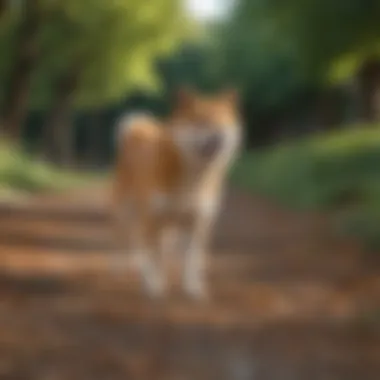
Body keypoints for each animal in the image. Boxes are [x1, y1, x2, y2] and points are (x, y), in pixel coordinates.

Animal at [112, 87, 243, 298]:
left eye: (223, 121)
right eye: (201, 121)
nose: (219, 134)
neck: (192, 179)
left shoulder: (197, 223)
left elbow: (191, 260)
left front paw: (192, 287)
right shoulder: (152, 219)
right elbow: (153, 256)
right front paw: (154, 285)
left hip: (169, 226)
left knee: (156, 244)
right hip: (125, 212)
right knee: (127, 240)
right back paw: (124, 267)